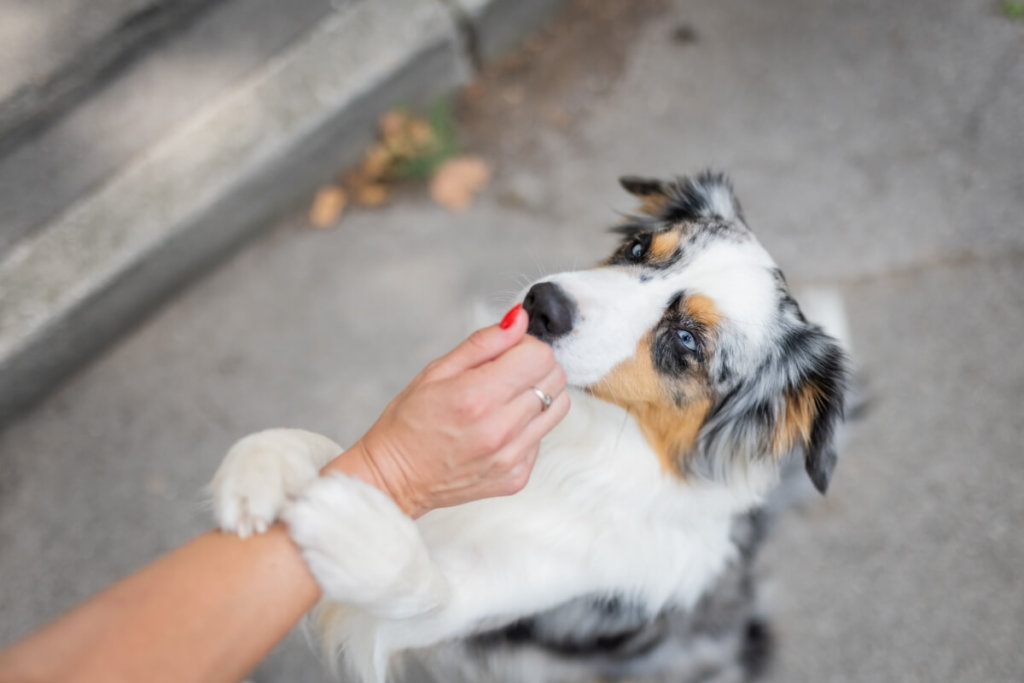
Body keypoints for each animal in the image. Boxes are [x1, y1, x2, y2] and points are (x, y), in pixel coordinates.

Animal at [209, 171, 847, 683]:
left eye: (687, 340)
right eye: (637, 246)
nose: (544, 304)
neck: (568, 449)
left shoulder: (508, 608)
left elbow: (426, 587)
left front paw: (346, 528)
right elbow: (358, 451)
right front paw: (262, 466)